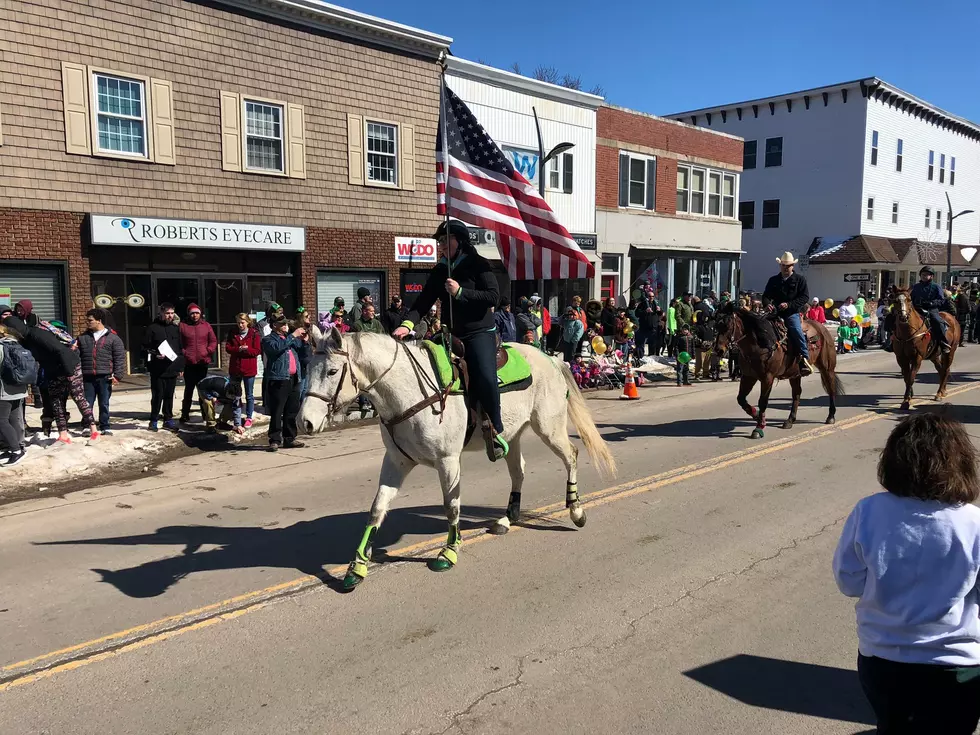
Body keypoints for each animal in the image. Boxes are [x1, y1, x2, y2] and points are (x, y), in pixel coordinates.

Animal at [302, 330, 616, 588]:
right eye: (307, 368)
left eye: (332, 371)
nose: (304, 422)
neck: (410, 394)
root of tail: (550, 358)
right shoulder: (396, 462)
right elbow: (377, 510)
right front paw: (357, 567)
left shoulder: (448, 460)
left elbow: (451, 507)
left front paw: (449, 552)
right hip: (513, 435)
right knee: (519, 471)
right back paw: (507, 518)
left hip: (549, 427)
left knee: (571, 456)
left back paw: (576, 510)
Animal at [712, 304, 844, 440]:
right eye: (716, 325)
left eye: (727, 326)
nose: (718, 350)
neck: (760, 345)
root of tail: (821, 328)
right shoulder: (748, 377)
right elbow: (741, 399)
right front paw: (756, 415)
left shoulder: (767, 378)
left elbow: (762, 402)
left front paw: (759, 428)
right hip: (795, 374)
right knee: (796, 394)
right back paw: (790, 420)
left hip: (827, 368)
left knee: (830, 389)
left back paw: (831, 416)